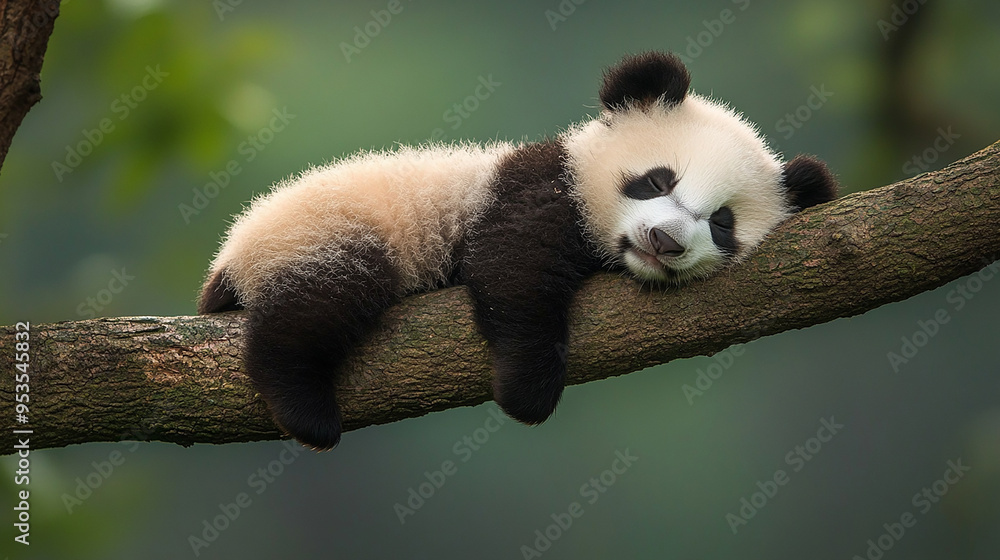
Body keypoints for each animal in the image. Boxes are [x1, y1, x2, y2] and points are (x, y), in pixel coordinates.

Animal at [199, 52, 837, 450]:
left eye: (722, 224)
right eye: (657, 180)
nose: (666, 241)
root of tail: (230, 258)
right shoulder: (535, 192)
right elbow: (515, 271)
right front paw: (528, 391)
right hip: (323, 230)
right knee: (320, 303)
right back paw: (304, 407)